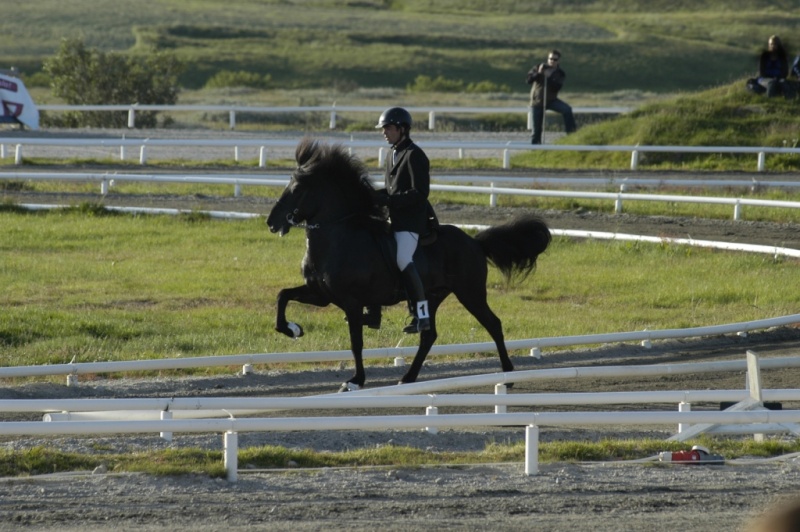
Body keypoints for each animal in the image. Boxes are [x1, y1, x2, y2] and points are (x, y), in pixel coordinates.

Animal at [268, 139, 552, 390]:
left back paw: (508, 376)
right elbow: (283, 296)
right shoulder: (322, 295)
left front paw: (355, 381)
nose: (272, 222)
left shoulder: (351, 302)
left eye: (297, 188)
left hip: (470, 293)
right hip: (433, 296)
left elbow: (356, 342)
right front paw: (293, 329)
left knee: (493, 325)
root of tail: (474, 242)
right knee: (429, 335)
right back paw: (408, 377)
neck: (337, 236)